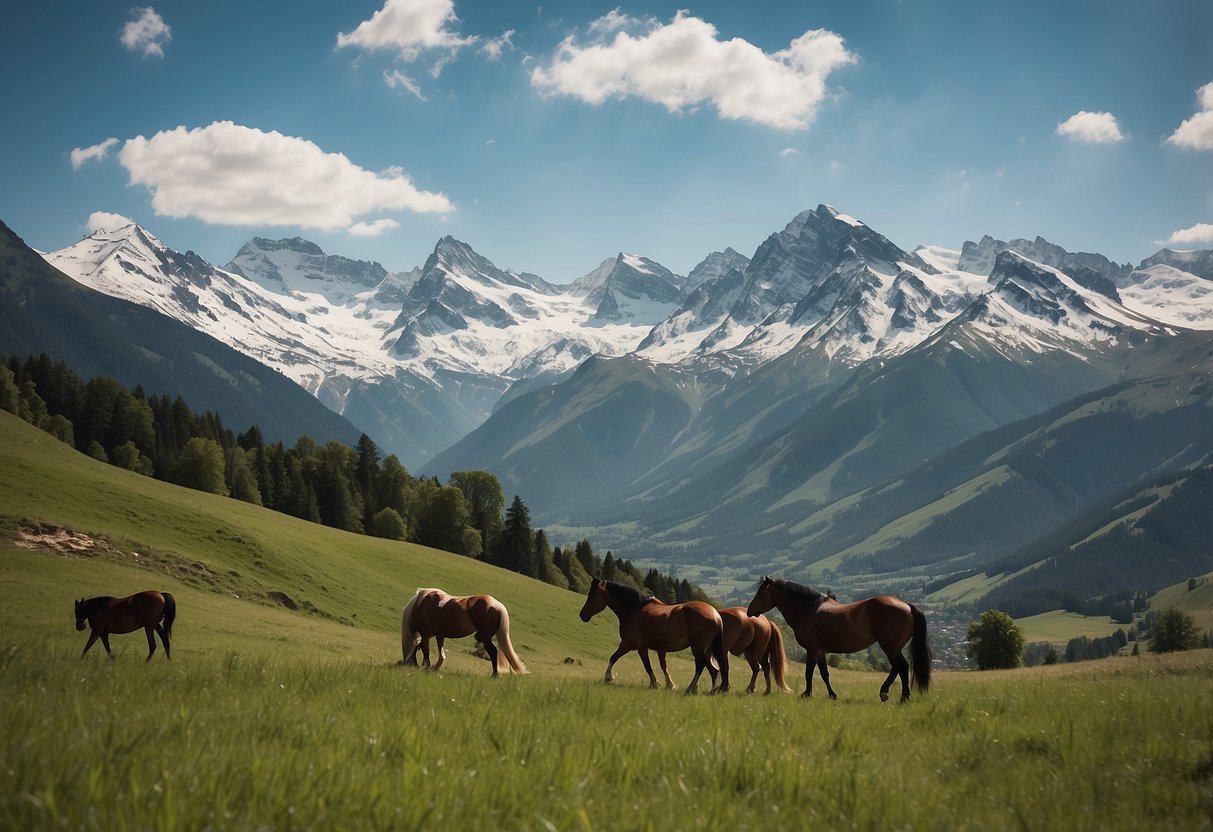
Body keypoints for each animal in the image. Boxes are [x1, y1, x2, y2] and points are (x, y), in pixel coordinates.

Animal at [572, 579, 722, 698]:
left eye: (594, 595)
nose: (582, 615)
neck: (633, 609)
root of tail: (715, 615)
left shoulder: (630, 645)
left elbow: (616, 658)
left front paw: (609, 677)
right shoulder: (648, 648)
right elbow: (658, 666)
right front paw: (665, 684)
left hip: (698, 648)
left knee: (701, 666)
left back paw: (691, 689)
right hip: (705, 650)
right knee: (713, 670)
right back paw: (712, 690)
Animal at [742, 579, 931, 703]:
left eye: (763, 594)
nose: (749, 611)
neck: (808, 609)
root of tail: (908, 606)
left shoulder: (812, 650)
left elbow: (809, 673)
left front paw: (806, 694)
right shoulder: (820, 651)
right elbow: (825, 674)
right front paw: (832, 695)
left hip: (890, 647)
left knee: (901, 666)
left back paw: (891, 694)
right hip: (894, 647)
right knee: (901, 667)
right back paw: (900, 695)